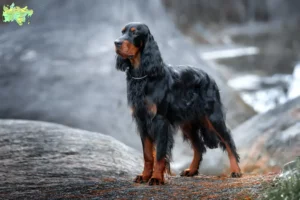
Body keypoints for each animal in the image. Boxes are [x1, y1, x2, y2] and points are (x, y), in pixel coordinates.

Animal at [113, 22, 243, 186]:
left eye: (134, 33)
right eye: (122, 32)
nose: (116, 43)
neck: (143, 76)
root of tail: (208, 76)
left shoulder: (160, 120)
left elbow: (160, 154)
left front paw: (156, 178)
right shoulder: (142, 120)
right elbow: (148, 155)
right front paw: (144, 176)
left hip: (213, 117)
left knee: (228, 141)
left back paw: (236, 171)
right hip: (188, 122)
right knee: (199, 147)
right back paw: (192, 170)